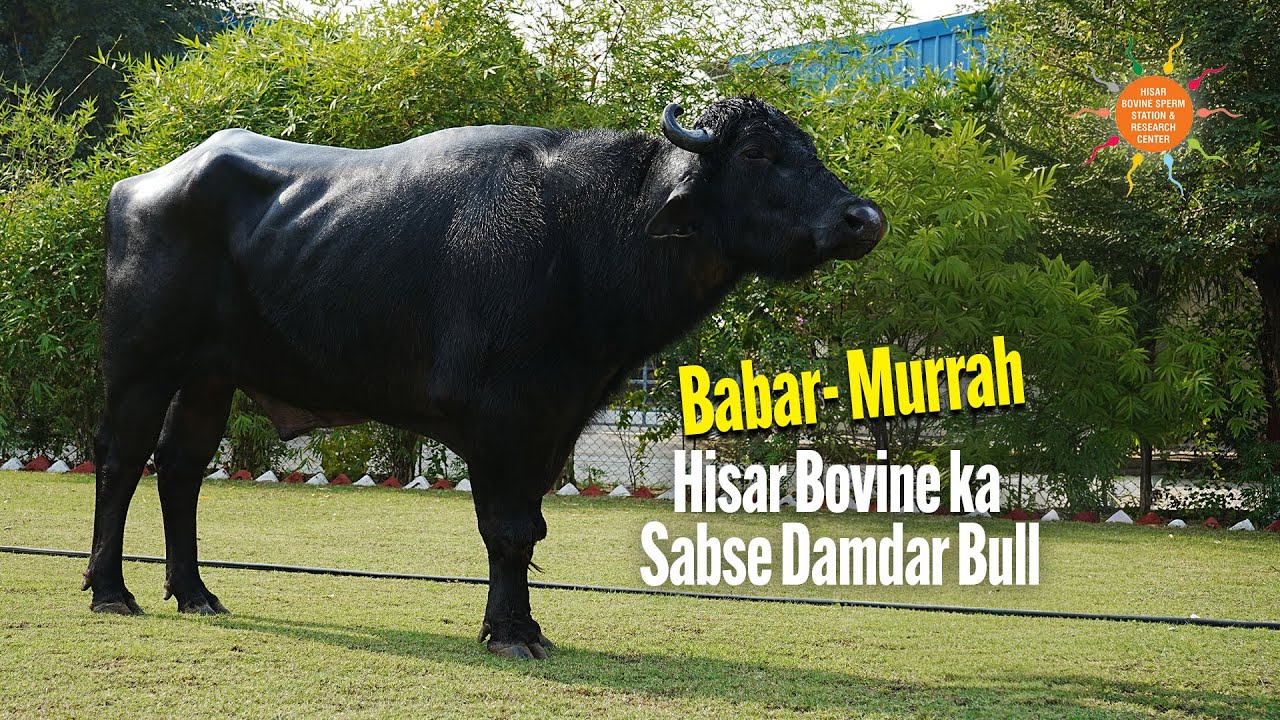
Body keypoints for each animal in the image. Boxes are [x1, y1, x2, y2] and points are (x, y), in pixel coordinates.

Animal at [84, 96, 885, 659]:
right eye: (756, 152)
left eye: (810, 150)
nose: (864, 218)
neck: (586, 236)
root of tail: (137, 189)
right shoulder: (501, 418)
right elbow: (505, 528)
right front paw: (509, 633)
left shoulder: (555, 419)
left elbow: (529, 527)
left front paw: (525, 624)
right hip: (139, 363)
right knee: (121, 461)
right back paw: (110, 591)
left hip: (210, 375)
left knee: (180, 468)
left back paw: (194, 593)